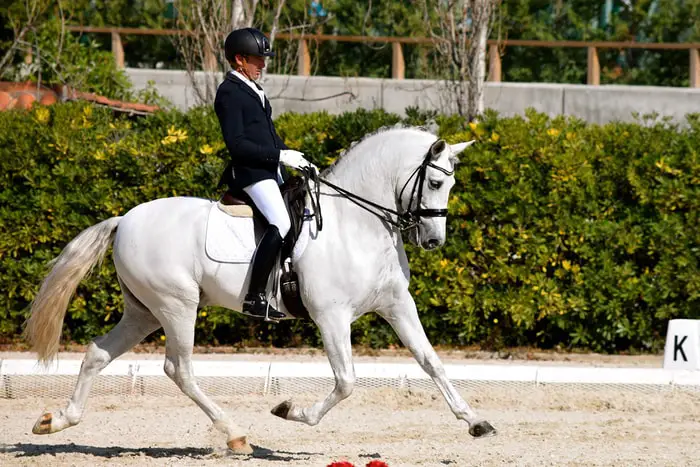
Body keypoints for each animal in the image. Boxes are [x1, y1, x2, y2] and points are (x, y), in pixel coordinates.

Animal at [27, 126, 494, 456]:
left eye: (451, 185)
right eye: (435, 184)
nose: (433, 240)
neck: (357, 224)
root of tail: (124, 219)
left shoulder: (397, 305)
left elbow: (432, 362)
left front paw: (475, 421)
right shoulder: (331, 316)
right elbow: (346, 382)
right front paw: (291, 411)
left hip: (143, 311)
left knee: (98, 353)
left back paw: (57, 421)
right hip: (177, 306)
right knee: (179, 369)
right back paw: (236, 436)